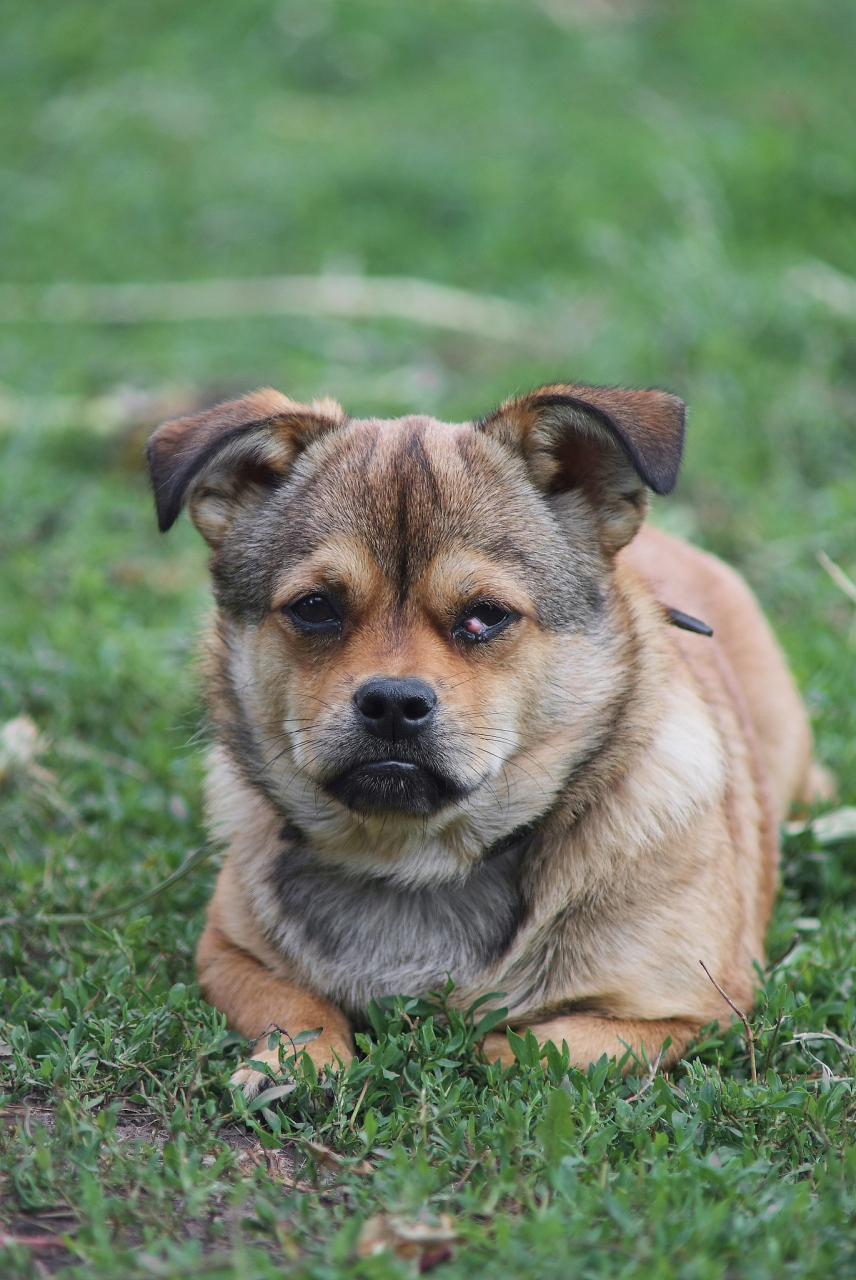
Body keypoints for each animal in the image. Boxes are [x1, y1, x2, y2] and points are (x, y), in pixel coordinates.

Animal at [145, 378, 818, 1090]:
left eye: (485, 616)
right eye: (315, 608)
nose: (392, 702)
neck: (412, 861)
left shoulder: (695, 1013)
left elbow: (516, 1044)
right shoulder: (225, 951)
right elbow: (295, 1005)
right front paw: (293, 1063)